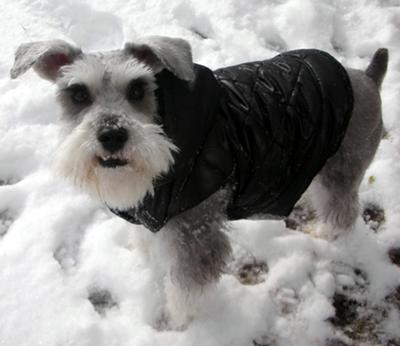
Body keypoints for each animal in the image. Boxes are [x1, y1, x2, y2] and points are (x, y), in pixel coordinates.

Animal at [10, 37, 388, 328]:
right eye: (77, 94)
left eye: (138, 89)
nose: (113, 135)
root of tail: (368, 78)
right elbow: (149, 247)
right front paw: (143, 259)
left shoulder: (195, 235)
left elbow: (184, 290)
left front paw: (174, 324)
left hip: (338, 174)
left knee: (342, 212)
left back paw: (323, 234)